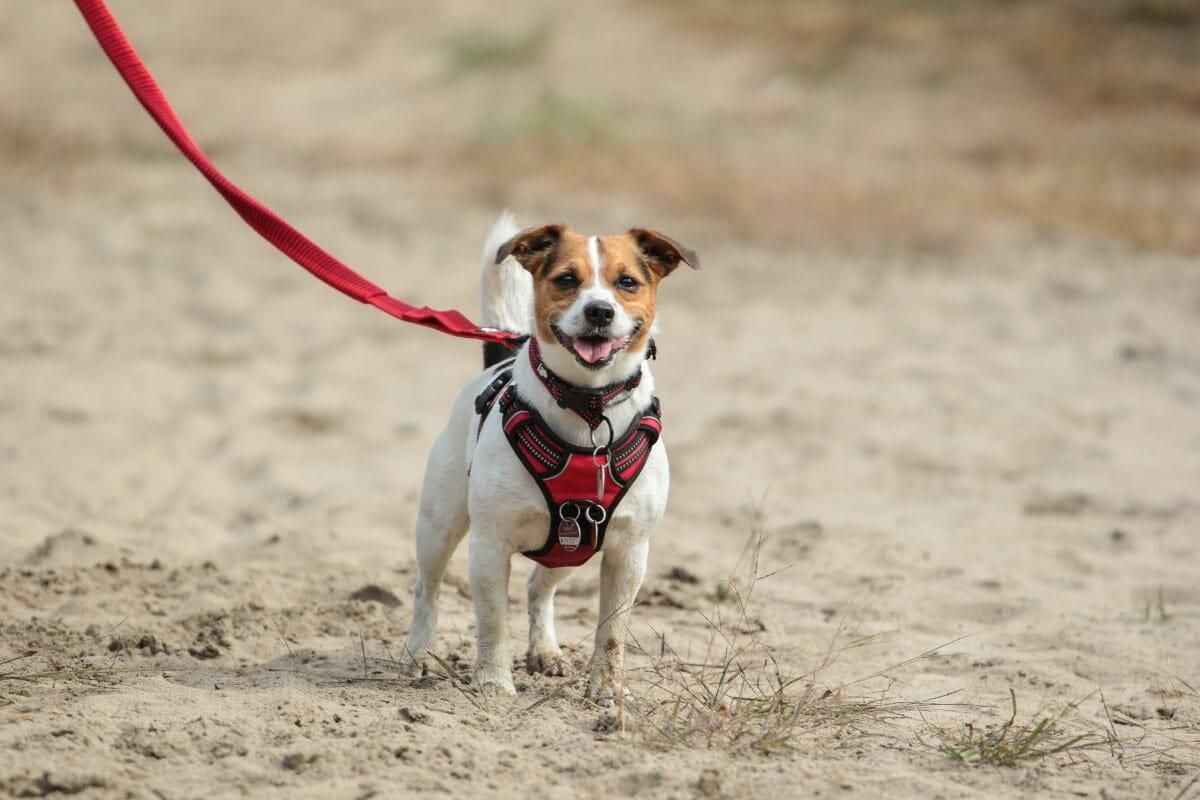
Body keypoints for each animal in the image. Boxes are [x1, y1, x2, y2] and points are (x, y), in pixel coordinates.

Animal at [400, 211, 700, 700]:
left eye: (627, 282)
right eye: (566, 279)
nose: (599, 311)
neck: (588, 407)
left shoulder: (629, 552)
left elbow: (612, 633)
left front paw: (607, 691)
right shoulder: (490, 543)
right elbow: (493, 622)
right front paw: (493, 682)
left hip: (575, 547)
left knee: (539, 585)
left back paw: (544, 651)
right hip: (439, 524)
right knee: (428, 589)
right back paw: (418, 655)